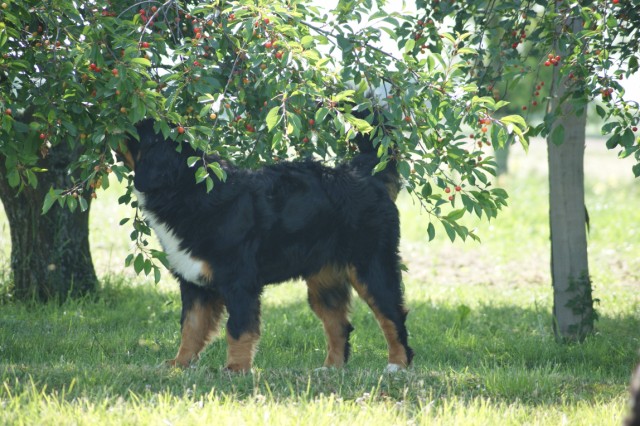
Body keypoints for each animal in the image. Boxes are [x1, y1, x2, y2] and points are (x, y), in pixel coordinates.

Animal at [120, 118, 413, 372]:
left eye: (134, 132)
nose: (118, 126)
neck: (187, 189)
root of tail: (362, 172)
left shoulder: (239, 282)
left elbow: (238, 330)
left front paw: (235, 369)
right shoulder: (195, 285)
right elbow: (190, 328)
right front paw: (179, 365)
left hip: (371, 268)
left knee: (392, 317)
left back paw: (397, 365)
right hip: (324, 281)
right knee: (339, 325)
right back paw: (330, 369)